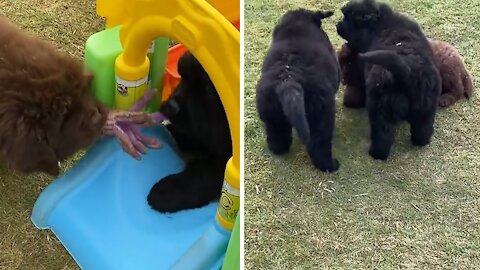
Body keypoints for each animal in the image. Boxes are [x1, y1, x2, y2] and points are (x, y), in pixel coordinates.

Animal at [256, 10, 340, 173]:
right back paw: (330, 165)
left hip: (272, 115)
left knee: (277, 138)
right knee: (319, 144)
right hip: (321, 115)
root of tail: (289, 79)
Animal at [336, 0, 440, 160]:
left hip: (380, 109)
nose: (337, 24)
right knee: (423, 129)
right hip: (427, 107)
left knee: (382, 134)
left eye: (347, 19)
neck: (378, 25)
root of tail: (406, 71)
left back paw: (376, 154)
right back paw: (421, 142)